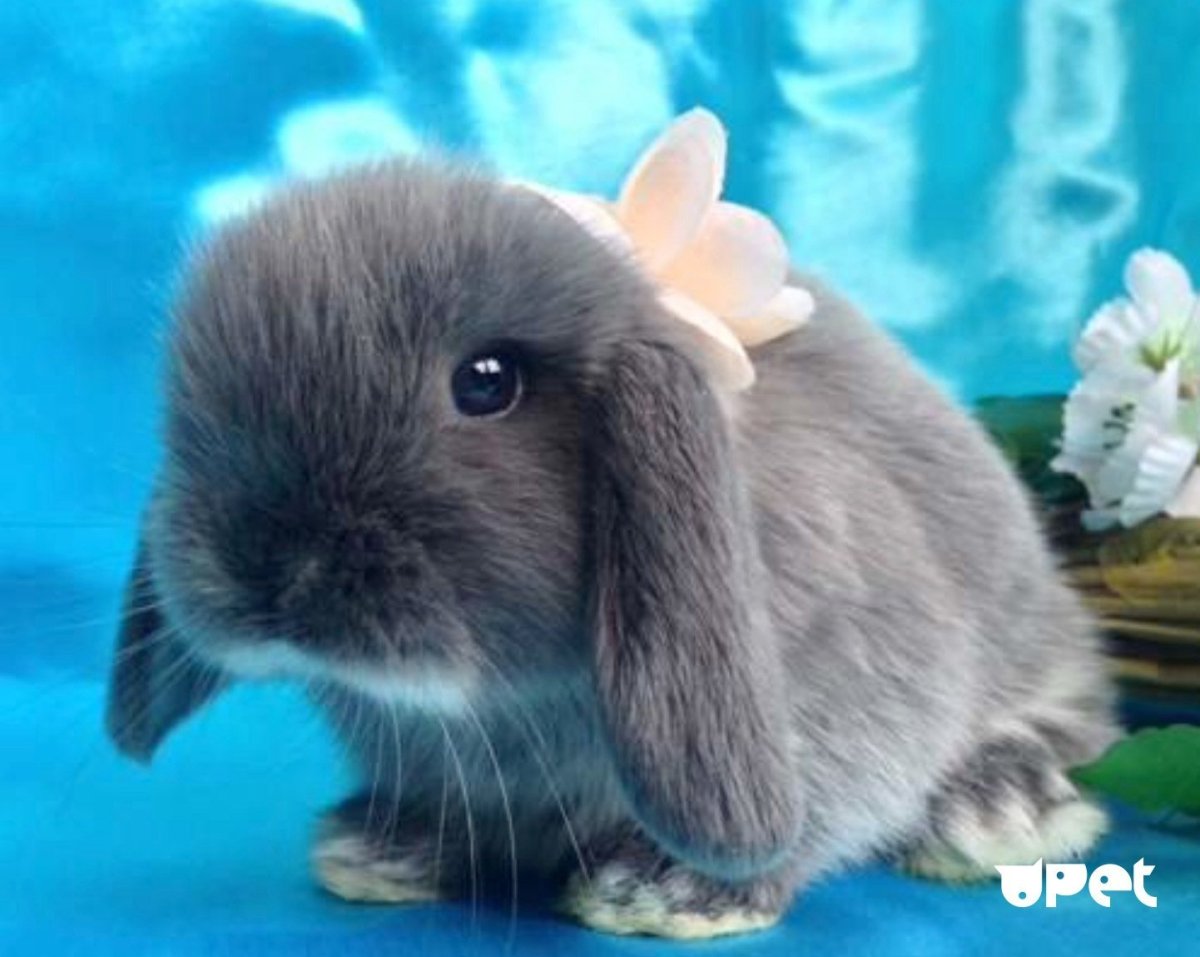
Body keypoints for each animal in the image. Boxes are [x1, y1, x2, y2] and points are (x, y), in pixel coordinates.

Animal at [106, 159, 1118, 939]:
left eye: (487, 382)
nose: (265, 571)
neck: (504, 705)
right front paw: (385, 845)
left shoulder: (859, 688)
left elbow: (832, 800)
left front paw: (669, 893)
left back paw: (1000, 806)